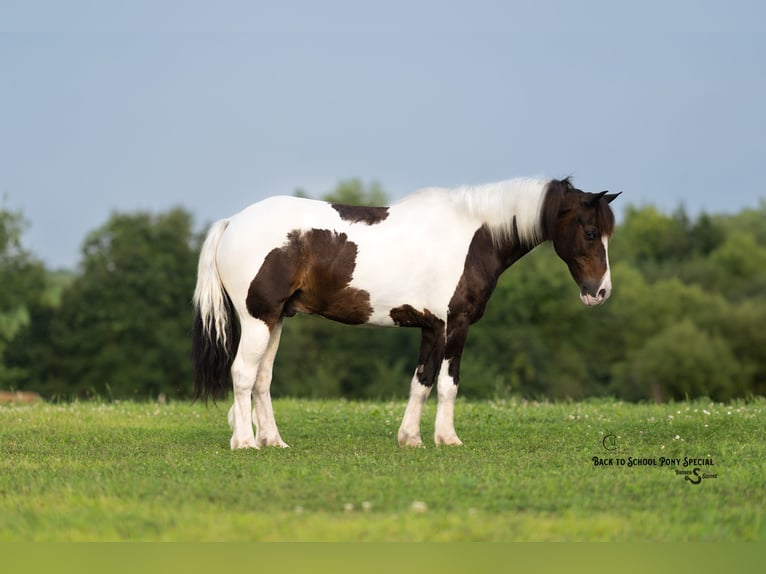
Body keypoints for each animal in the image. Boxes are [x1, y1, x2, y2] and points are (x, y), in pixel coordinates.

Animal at [192, 177, 620, 449]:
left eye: (606, 234)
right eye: (590, 233)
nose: (600, 292)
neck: (474, 235)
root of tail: (233, 222)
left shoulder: (431, 328)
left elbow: (422, 382)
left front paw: (410, 438)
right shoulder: (455, 324)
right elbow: (448, 383)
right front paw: (447, 438)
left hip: (276, 320)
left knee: (262, 379)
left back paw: (273, 441)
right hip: (257, 320)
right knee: (243, 375)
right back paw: (245, 442)